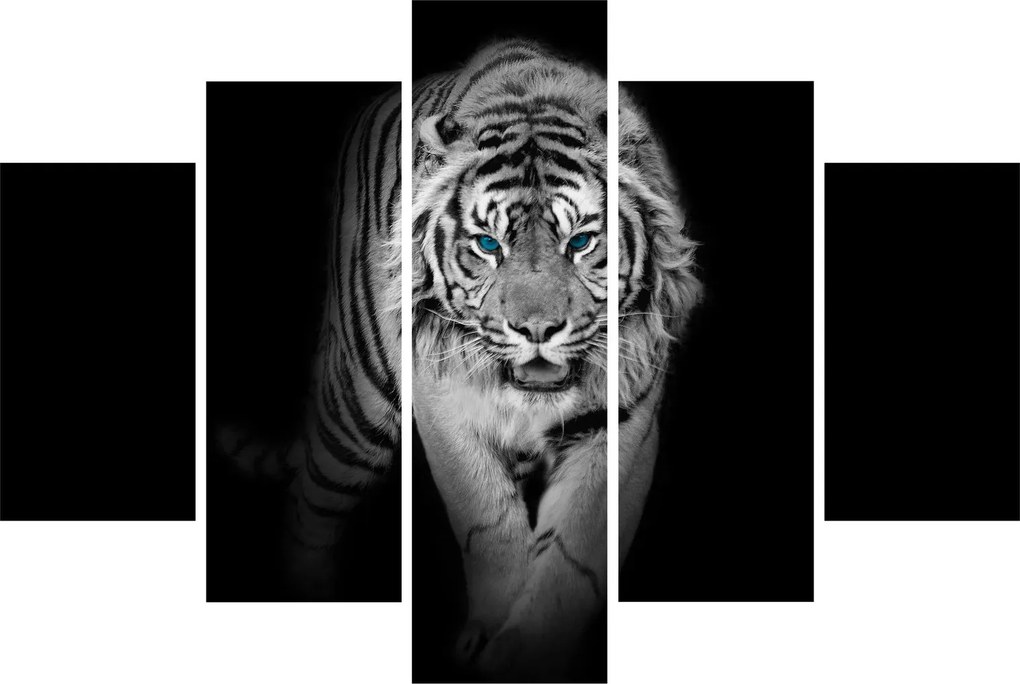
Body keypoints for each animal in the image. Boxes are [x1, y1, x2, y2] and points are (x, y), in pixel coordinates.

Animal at [412, 39, 699, 679]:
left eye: (582, 242)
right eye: (488, 245)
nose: (537, 329)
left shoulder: (623, 420)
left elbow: (574, 551)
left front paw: (523, 652)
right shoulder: (441, 402)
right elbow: (486, 520)